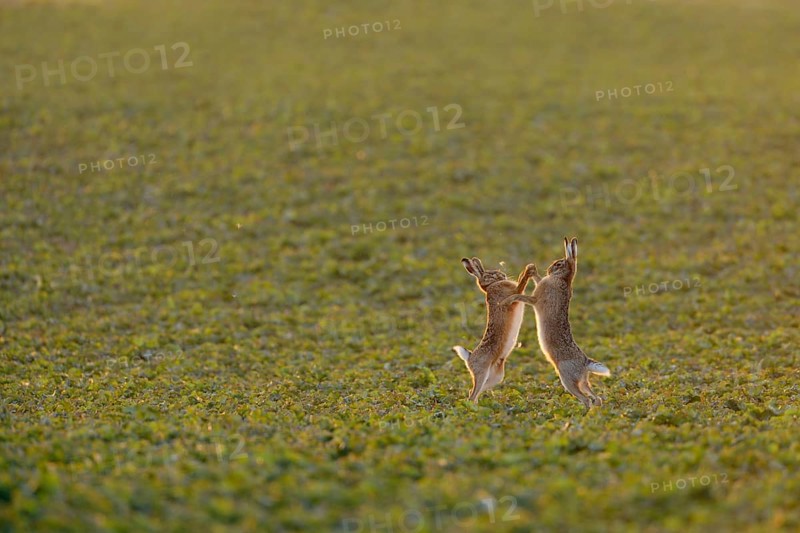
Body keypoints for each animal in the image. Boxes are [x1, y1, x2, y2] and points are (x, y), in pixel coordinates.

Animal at [452, 257, 537, 402]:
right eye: (491, 274)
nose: (503, 275)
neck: (490, 286)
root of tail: (469, 357)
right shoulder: (513, 293)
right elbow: (521, 282)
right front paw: (529, 269)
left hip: (496, 377)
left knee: (473, 392)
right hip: (482, 372)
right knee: (472, 394)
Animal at [502, 238, 610, 409]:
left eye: (558, 264)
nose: (548, 270)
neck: (563, 278)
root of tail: (585, 363)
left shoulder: (536, 299)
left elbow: (521, 296)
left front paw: (506, 301)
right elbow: (537, 280)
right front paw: (532, 270)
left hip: (567, 378)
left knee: (585, 398)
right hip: (582, 380)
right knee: (594, 396)